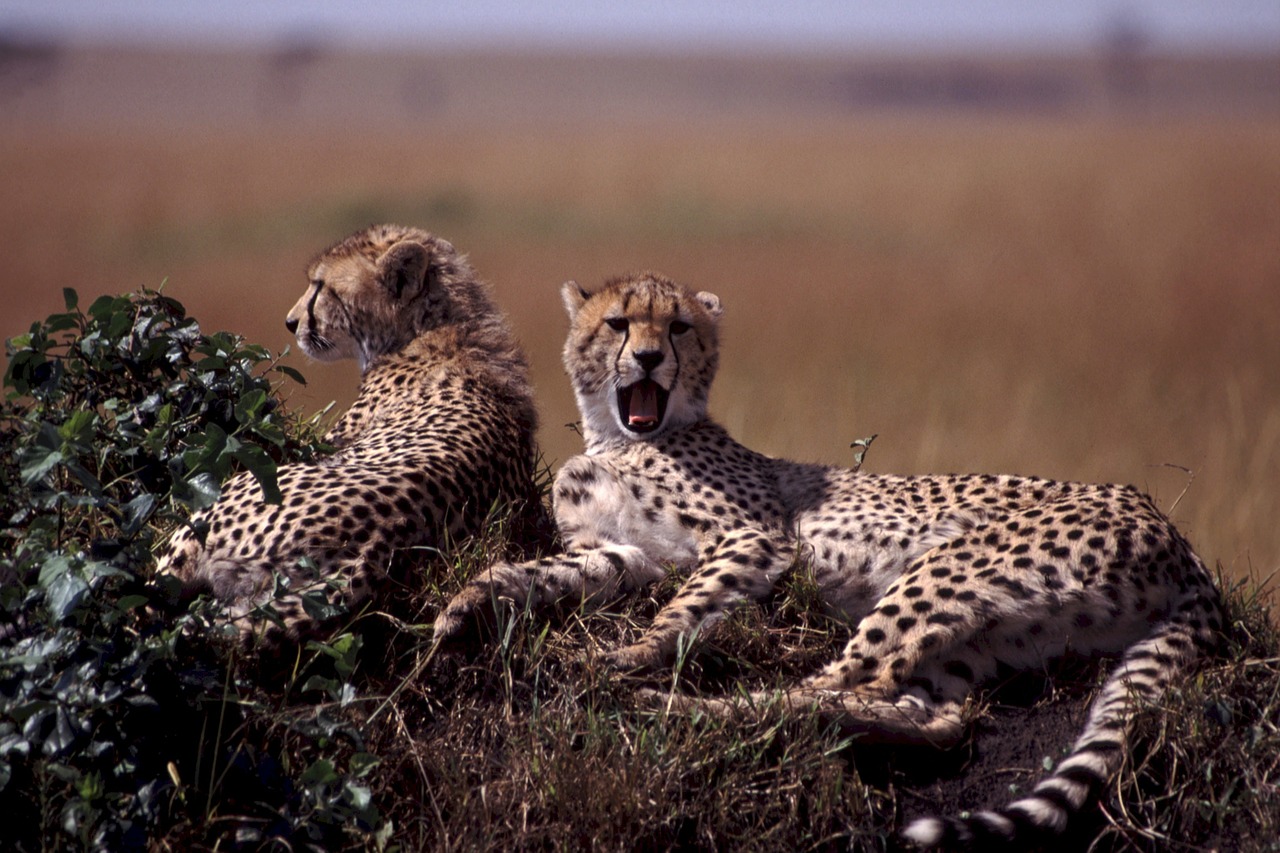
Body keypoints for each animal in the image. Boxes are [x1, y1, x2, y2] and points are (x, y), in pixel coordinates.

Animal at [435, 270, 1223, 845]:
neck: (621, 438)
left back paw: (680, 708)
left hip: (945, 569)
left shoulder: (754, 538)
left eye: (679, 326)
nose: (652, 357)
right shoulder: (624, 553)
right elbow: (540, 574)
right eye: (619, 323)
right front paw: (465, 606)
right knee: (931, 713)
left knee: (829, 682)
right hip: (1001, 629)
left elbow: (684, 607)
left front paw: (630, 655)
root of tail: (1175, 537)